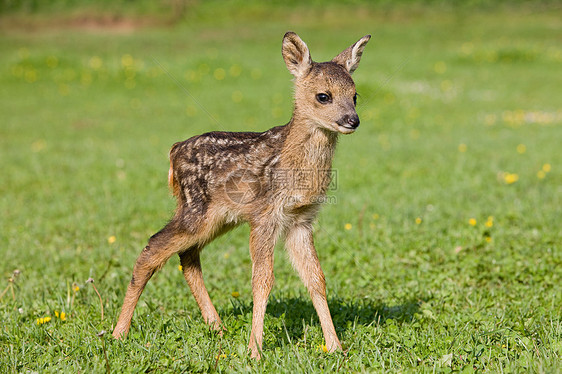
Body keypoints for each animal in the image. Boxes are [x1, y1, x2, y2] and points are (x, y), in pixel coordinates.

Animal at [111, 32, 370, 360]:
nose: (352, 120)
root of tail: (173, 151)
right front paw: (255, 350)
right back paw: (118, 333)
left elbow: (316, 279)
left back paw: (217, 327)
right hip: (196, 209)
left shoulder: (300, 218)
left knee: (187, 255)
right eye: (323, 96)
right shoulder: (265, 215)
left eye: (355, 95)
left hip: (219, 218)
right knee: (152, 248)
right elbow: (262, 280)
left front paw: (336, 347)